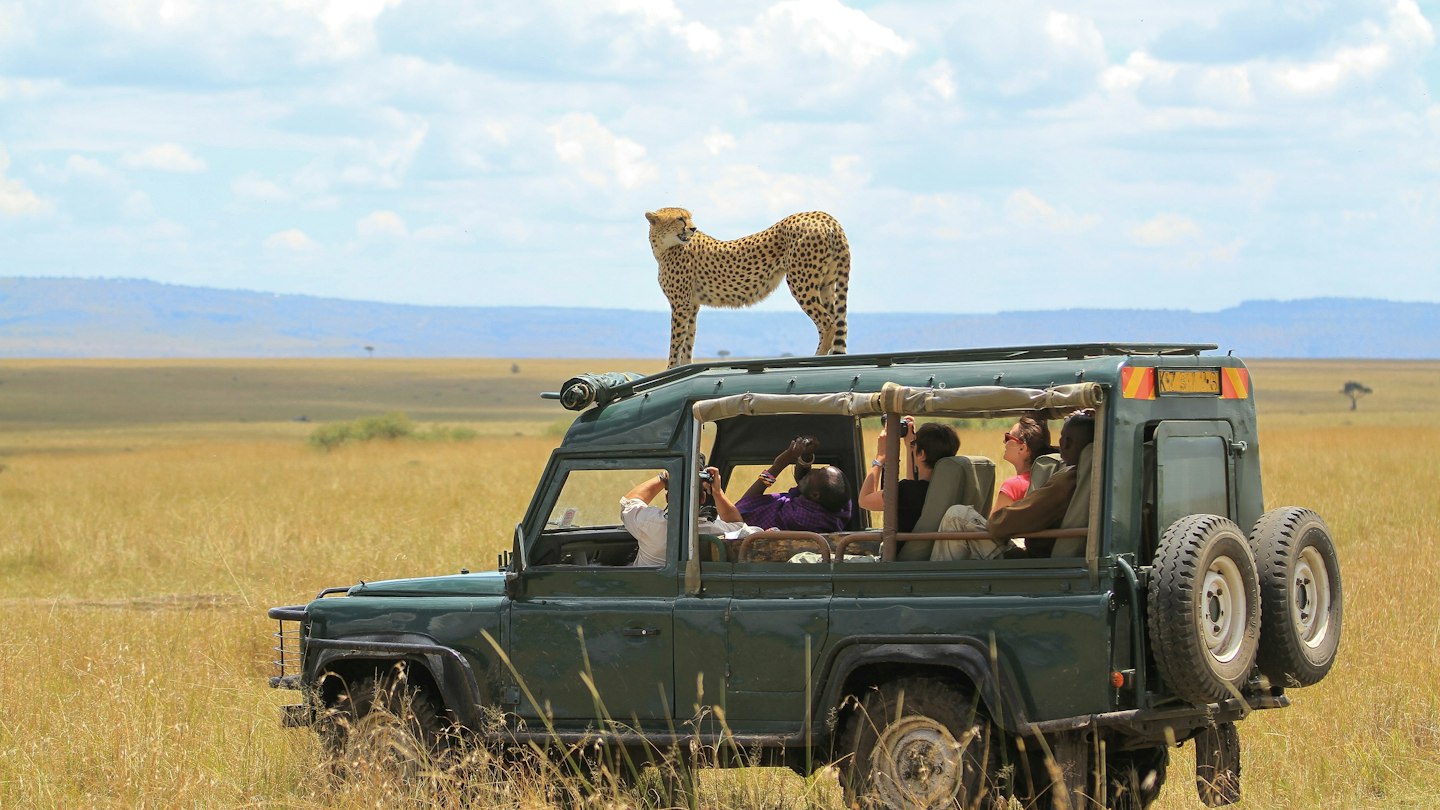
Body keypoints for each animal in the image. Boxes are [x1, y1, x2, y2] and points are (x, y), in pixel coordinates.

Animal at [648, 206, 846, 367]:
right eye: (680, 219)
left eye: (689, 218)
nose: (693, 228)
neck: (664, 247)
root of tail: (823, 216)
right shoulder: (692, 305)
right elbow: (688, 340)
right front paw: (684, 366)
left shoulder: (680, 305)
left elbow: (676, 342)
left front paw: (671, 368)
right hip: (826, 285)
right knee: (837, 321)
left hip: (801, 282)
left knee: (827, 323)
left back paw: (817, 358)